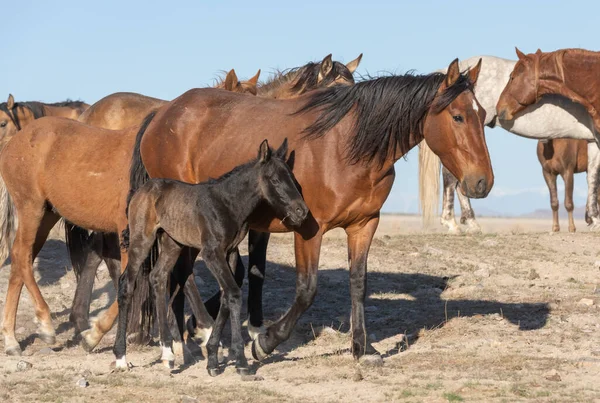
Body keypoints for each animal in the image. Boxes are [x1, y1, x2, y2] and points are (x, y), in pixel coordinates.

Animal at [113, 140, 310, 378]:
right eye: (274, 179)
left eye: (292, 177)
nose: (301, 211)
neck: (228, 204)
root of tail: (140, 191)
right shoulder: (212, 252)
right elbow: (234, 293)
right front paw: (241, 362)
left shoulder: (230, 252)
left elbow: (226, 296)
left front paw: (213, 360)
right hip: (142, 239)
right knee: (126, 283)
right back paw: (121, 358)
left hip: (172, 242)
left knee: (157, 278)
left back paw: (168, 354)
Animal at [418, 55, 600, 235]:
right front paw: (595, 220)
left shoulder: (592, 141)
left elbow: (592, 176)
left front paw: (593, 218)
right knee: (451, 175)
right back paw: (455, 222)